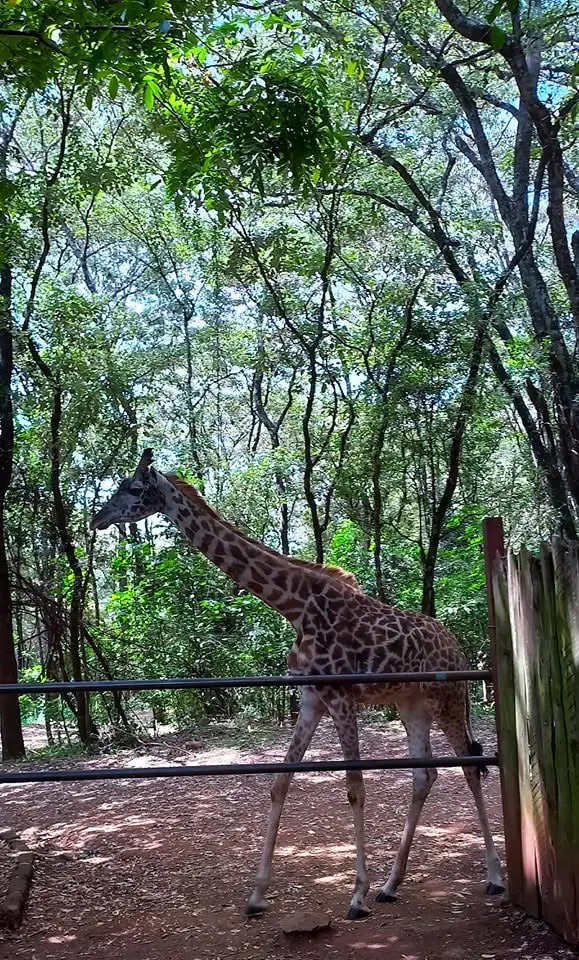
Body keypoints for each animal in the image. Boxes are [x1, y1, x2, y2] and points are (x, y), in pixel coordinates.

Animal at [91, 449, 504, 920]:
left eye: (133, 487)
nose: (97, 518)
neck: (293, 606)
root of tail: (459, 648)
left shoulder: (341, 698)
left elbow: (355, 789)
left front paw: (356, 896)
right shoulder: (310, 699)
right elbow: (280, 783)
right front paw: (257, 894)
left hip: (450, 698)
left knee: (470, 767)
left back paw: (493, 877)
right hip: (410, 704)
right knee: (425, 775)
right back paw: (391, 885)